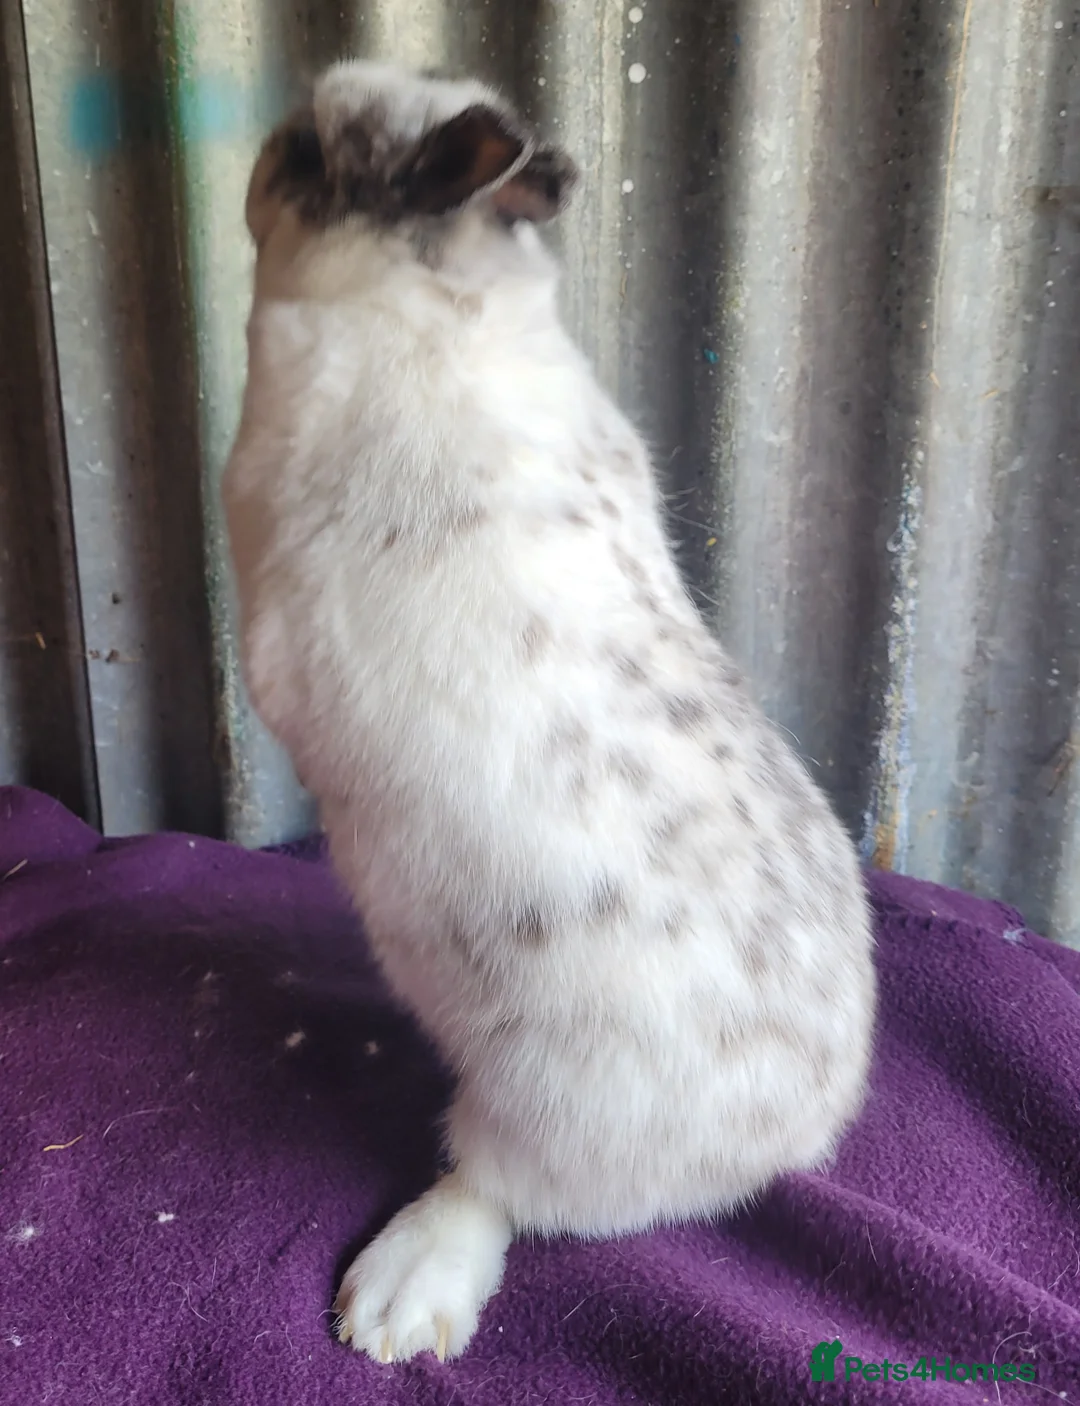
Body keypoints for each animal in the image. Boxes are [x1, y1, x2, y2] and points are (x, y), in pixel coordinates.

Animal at [222, 58, 877, 1366]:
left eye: (315, 153)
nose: (262, 153)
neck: (440, 304)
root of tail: (801, 1123)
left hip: (534, 1110)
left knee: (491, 1191)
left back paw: (395, 1300)